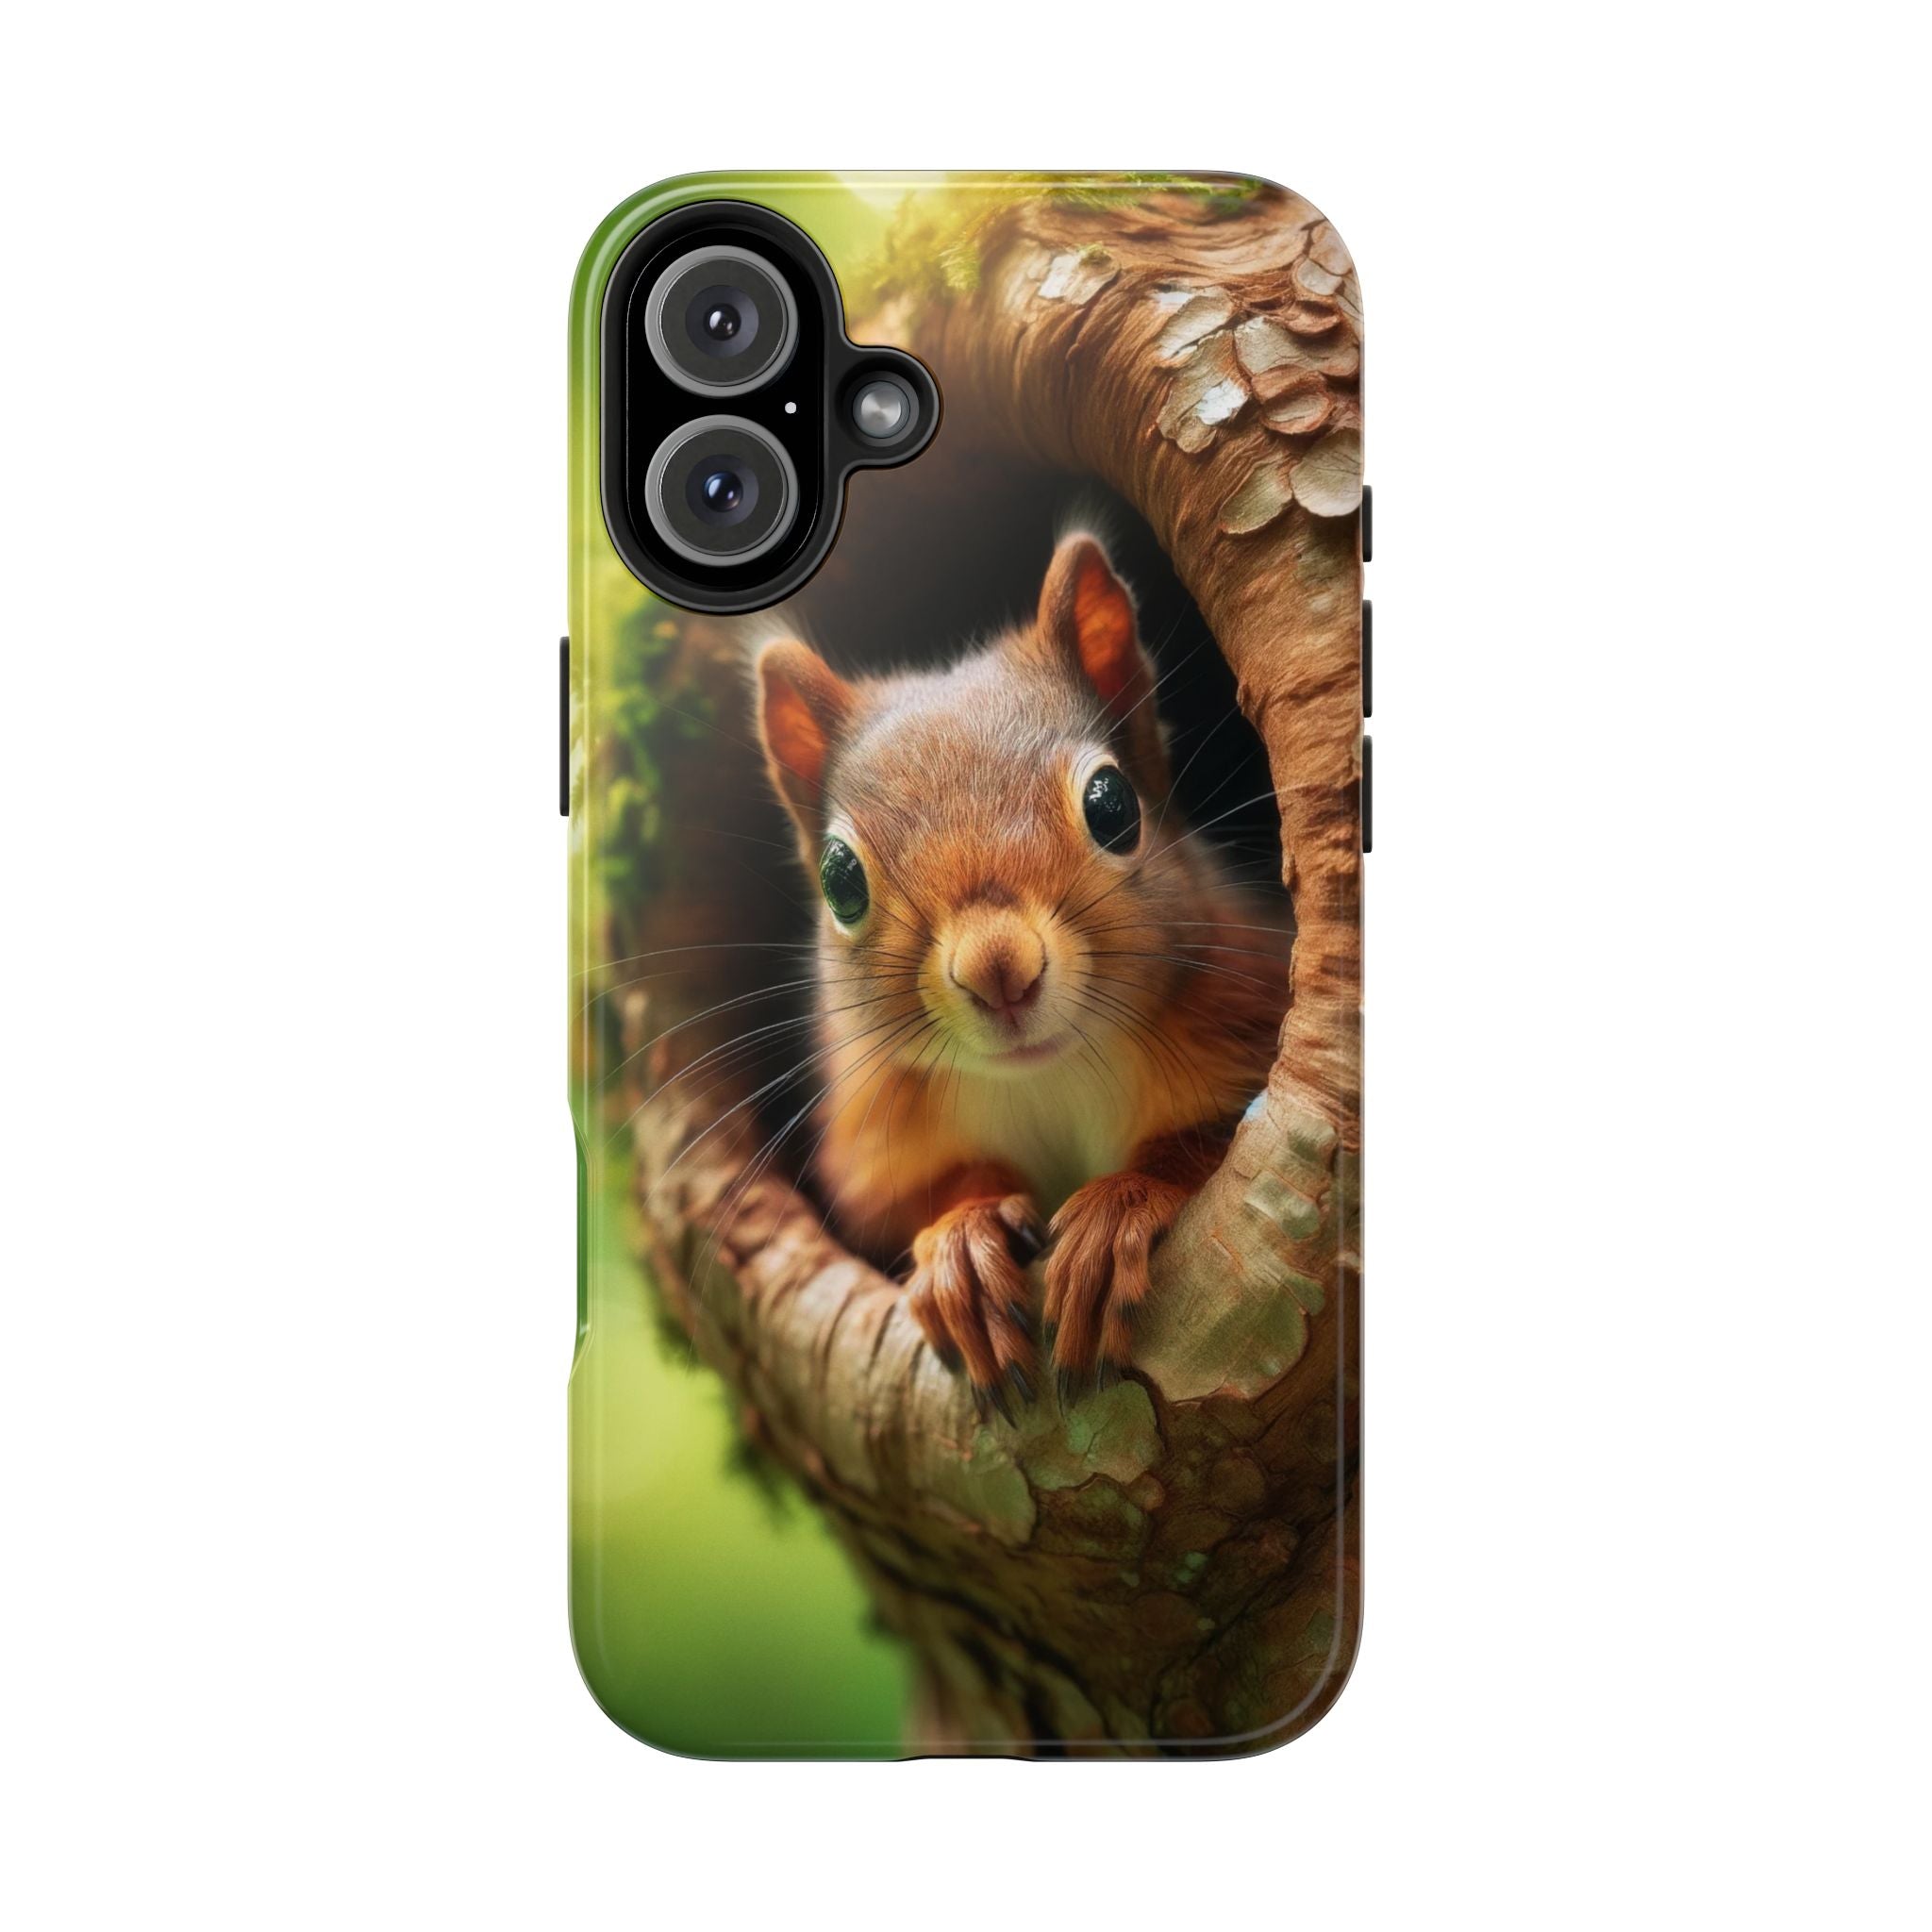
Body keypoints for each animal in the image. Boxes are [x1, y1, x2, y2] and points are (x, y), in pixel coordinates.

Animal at [754, 532, 1291, 1416]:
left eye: (1112, 805)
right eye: (839, 879)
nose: (997, 969)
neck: (1047, 1077)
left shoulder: (1247, 1003)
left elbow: (1207, 1142)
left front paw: (1115, 1211)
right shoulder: (875, 1137)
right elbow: (911, 1201)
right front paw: (963, 1246)